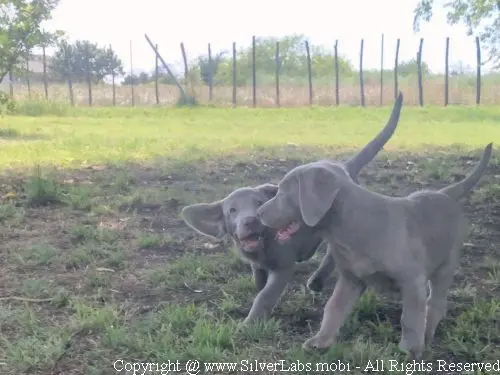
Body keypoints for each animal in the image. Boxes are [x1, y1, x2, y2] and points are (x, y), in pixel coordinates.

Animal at [182, 92, 404, 324]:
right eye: (232, 211)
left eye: (258, 203)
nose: (251, 220)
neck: (264, 246)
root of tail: (343, 167)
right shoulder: (257, 265)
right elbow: (259, 284)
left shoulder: (283, 267)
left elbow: (265, 295)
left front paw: (248, 324)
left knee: (332, 254)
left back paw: (316, 281)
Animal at [258, 143, 492, 358]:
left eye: (282, 192)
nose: (259, 212)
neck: (352, 227)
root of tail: (445, 193)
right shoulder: (350, 279)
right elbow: (334, 308)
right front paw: (320, 341)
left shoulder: (411, 280)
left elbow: (410, 317)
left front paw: (410, 349)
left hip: (446, 265)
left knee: (435, 303)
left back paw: (427, 334)